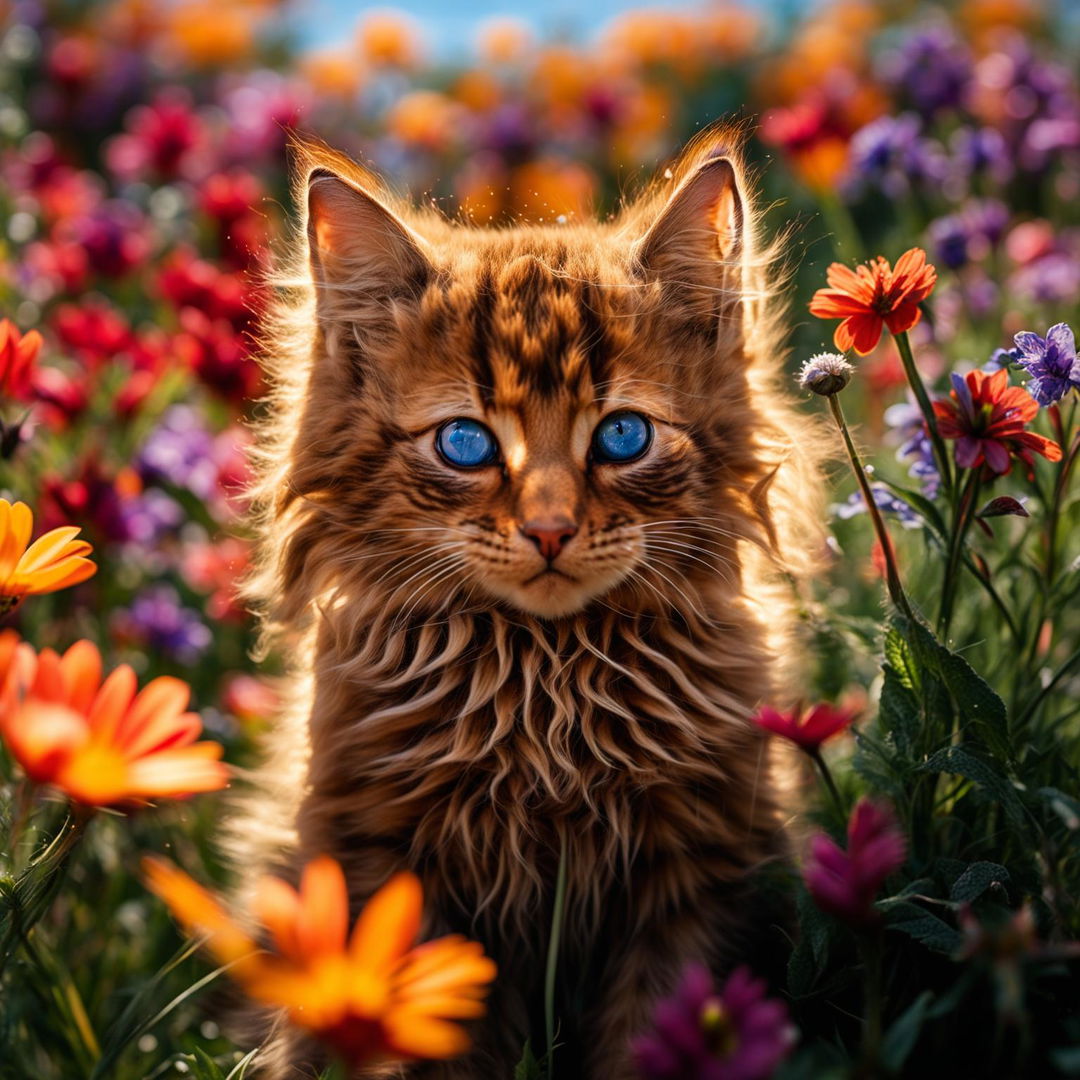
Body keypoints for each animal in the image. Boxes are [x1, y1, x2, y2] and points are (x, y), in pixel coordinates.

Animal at [238, 130, 825, 1075]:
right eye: (466, 443)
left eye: (621, 435)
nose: (550, 528)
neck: (545, 700)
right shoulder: (381, 867)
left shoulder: (699, 877)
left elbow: (652, 1036)